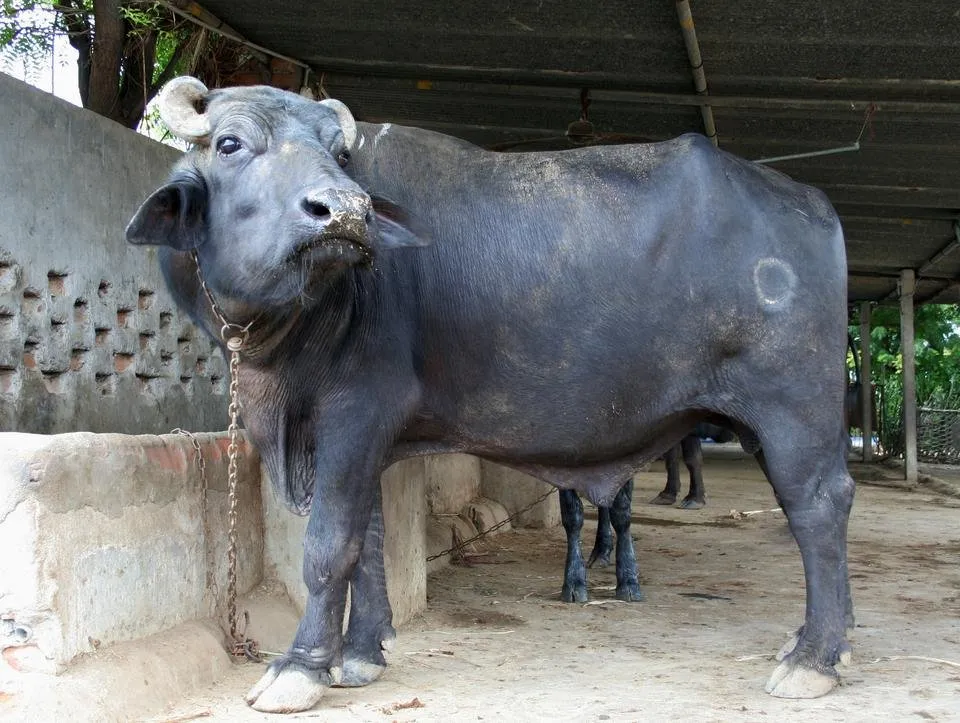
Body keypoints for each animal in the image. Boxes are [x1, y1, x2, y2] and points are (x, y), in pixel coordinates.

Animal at [125, 78, 856, 712]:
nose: (345, 212)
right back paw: (824, 643)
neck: (293, 331)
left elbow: (331, 544)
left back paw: (811, 659)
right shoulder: (365, 439)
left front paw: (303, 667)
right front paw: (361, 653)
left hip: (793, 411)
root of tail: (813, 206)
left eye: (340, 154)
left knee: (819, 505)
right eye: (229, 144)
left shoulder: (353, 415)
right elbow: (370, 537)